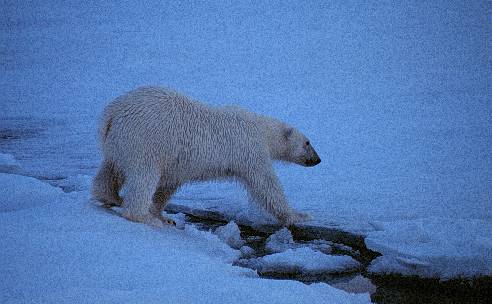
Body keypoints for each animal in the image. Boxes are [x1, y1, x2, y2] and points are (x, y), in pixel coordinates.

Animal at [92, 86, 320, 227]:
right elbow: (266, 185)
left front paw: (163, 215)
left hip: (119, 142)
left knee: (111, 169)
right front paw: (299, 215)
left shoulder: (178, 163)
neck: (262, 129)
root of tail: (113, 112)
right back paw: (143, 216)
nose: (318, 160)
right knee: (143, 176)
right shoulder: (250, 150)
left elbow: (167, 185)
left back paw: (111, 196)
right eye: (307, 143)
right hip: (146, 140)